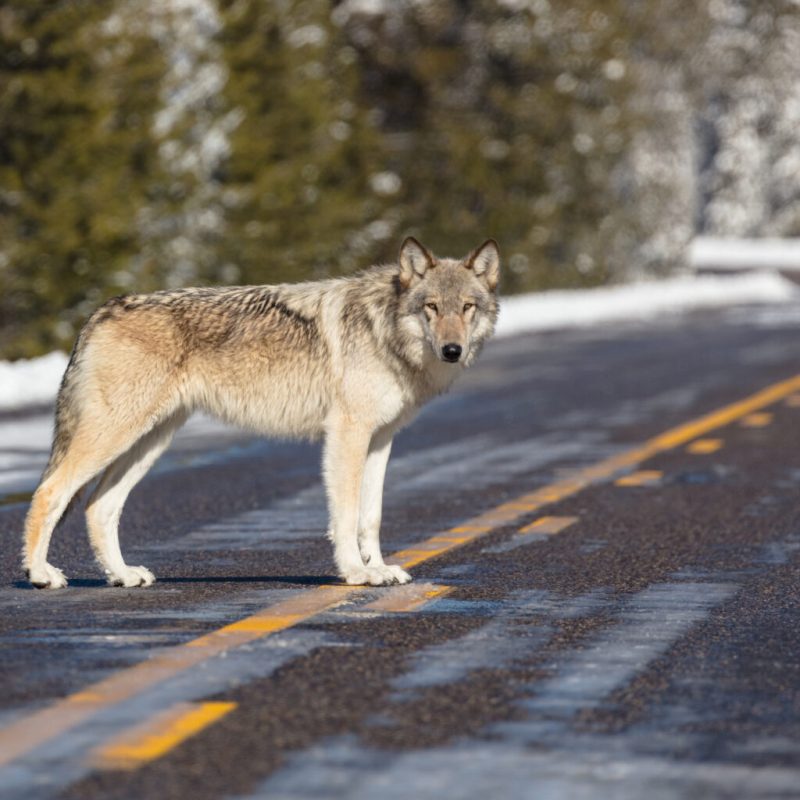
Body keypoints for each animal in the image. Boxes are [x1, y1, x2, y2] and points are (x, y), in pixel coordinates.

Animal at [22, 237, 500, 589]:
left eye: (467, 307)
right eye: (432, 307)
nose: (452, 350)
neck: (385, 330)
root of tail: (101, 310)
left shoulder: (381, 439)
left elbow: (372, 516)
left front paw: (379, 568)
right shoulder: (347, 434)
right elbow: (346, 515)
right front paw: (356, 573)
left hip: (149, 442)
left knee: (98, 507)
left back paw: (122, 575)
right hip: (115, 436)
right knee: (50, 491)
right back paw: (41, 575)